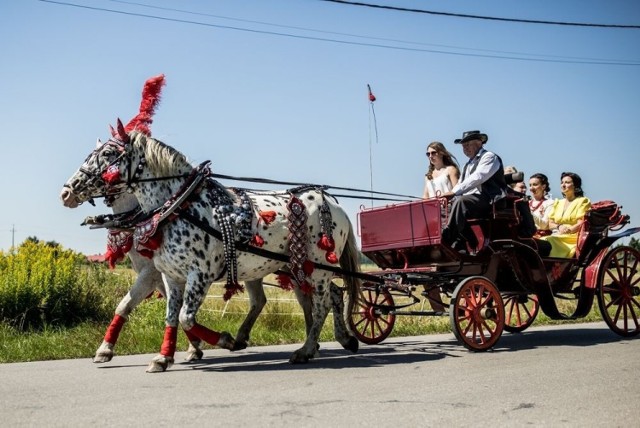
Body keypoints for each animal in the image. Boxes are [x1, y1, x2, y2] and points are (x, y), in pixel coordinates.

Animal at [60, 121, 360, 372]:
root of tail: (333, 202)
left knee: (321, 303)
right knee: (324, 297)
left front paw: (223, 341)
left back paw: (307, 348)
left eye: (109, 153)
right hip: (296, 267)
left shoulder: (197, 274)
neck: (176, 207)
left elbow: (185, 317)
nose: (67, 192)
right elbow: (170, 315)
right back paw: (334, 341)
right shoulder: (171, 276)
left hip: (318, 269)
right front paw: (163, 357)